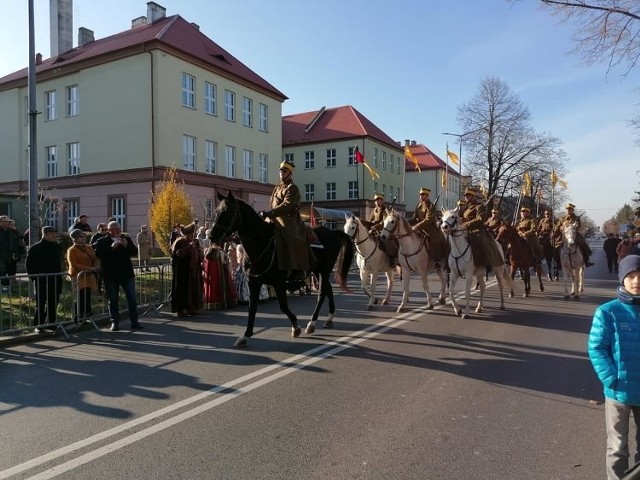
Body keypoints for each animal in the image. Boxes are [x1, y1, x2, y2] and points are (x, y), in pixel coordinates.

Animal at [209, 192, 356, 348]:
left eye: (226, 212)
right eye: (216, 211)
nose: (212, 236)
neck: (262, 244)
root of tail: (332, 232)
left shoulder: (278, 282)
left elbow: (283, 306)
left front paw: (296, 327)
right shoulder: (253, 282)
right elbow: (252, 308)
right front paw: (245, 335)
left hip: (325, 269)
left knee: (322, 293)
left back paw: (312, 323)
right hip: (317, 270)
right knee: (328, 289)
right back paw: (329, 318)